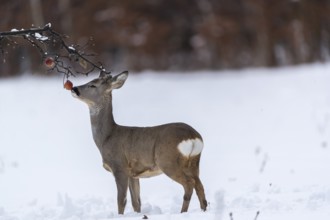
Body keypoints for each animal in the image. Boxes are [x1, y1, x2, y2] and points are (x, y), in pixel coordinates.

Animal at [71, 71, 208, 214]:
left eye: (93, 85)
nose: (74, 88)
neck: (107, 137)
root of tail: (193, 136)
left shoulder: (119, 166)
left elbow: (121, 200)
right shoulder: (133, 173)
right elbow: (136, 202)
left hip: (167, 161)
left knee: (189, 184)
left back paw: (182, 212)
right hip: (193, 163)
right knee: (199, 185)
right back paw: (203, 211)